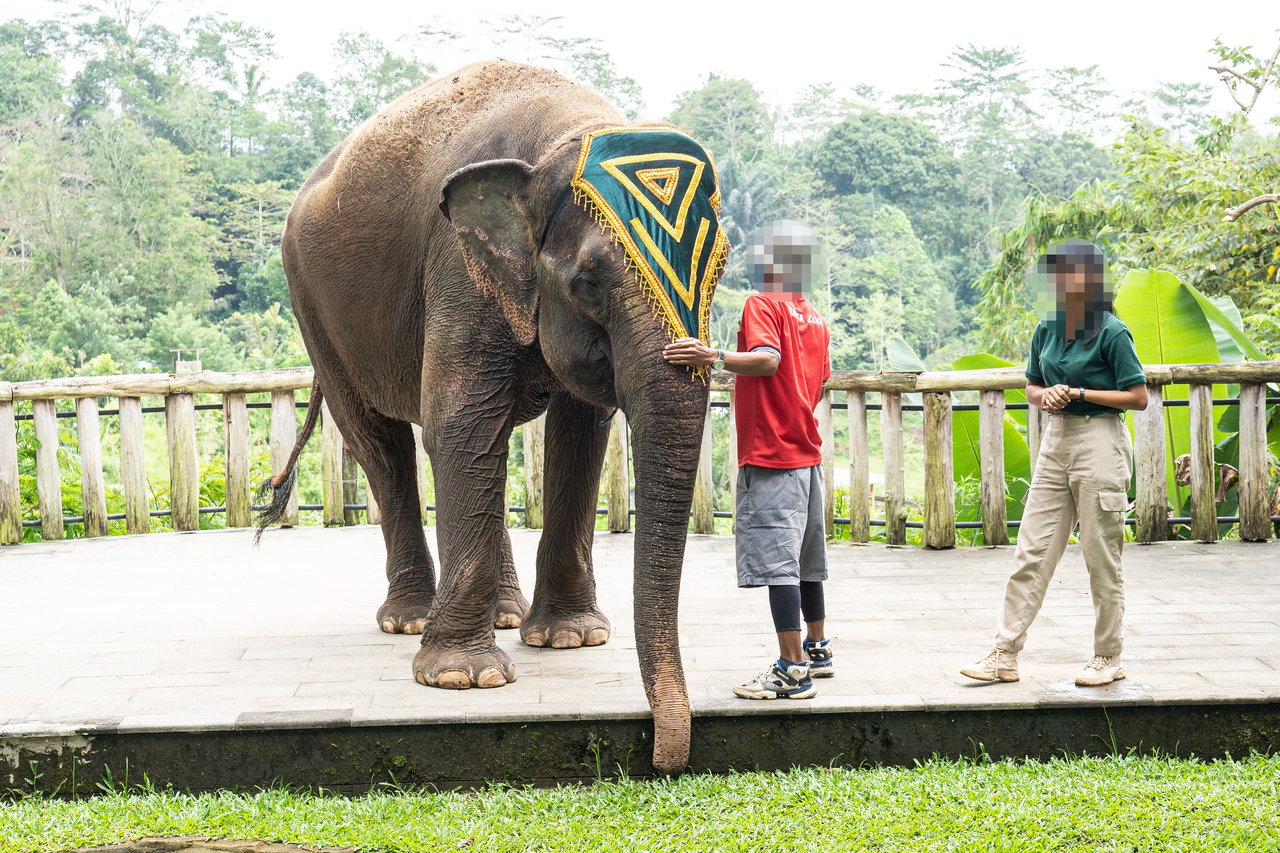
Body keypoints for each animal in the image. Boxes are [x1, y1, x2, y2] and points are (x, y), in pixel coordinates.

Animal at [259, 61, 723, 773]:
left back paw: (504, 616)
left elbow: (579, 431)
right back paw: (409, 621)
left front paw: (570, 640)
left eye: (720, 271)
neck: (565, 135)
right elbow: (459, 421)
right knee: (380, 440)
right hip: (313, 305)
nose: (662, 758)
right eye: (589, 283)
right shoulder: (455, 261)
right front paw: (462, 678)